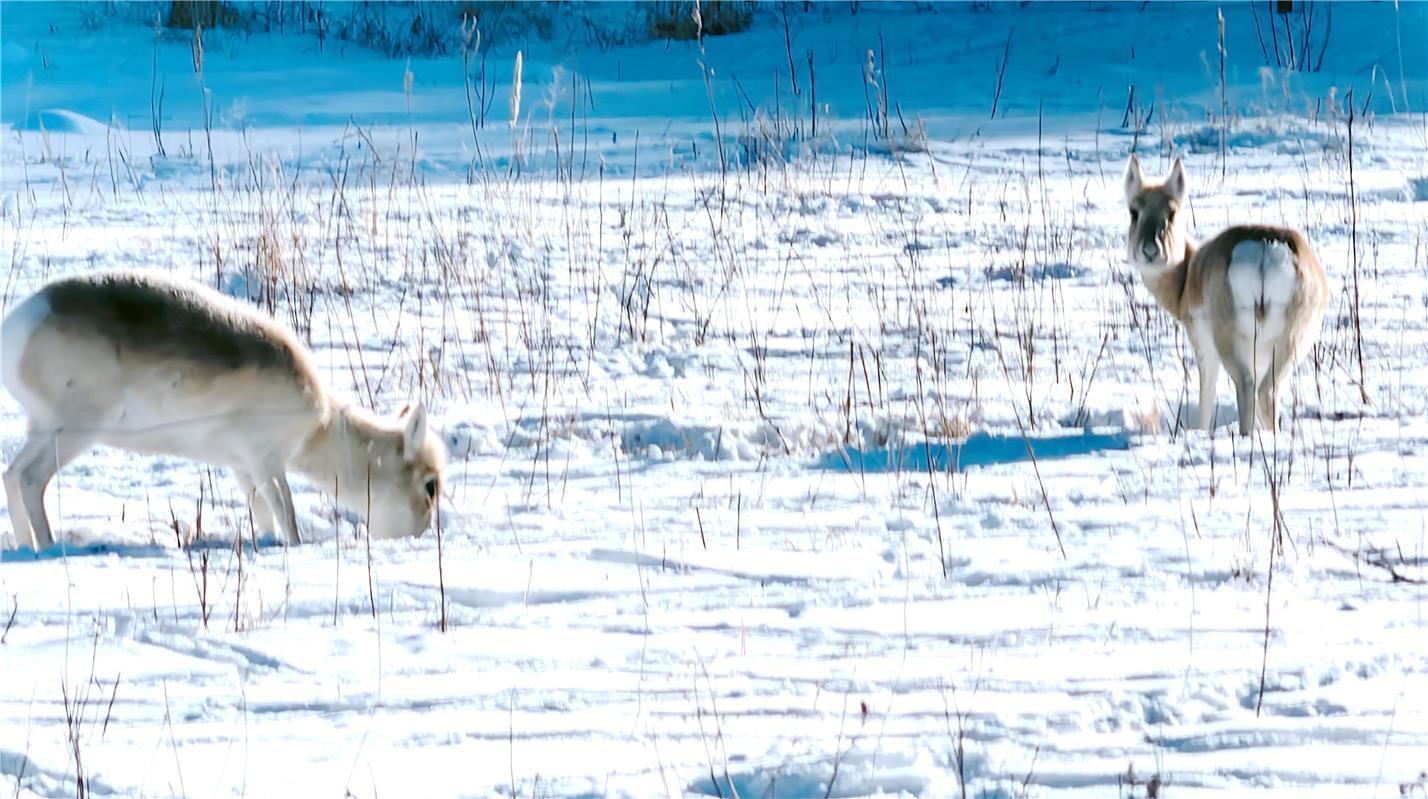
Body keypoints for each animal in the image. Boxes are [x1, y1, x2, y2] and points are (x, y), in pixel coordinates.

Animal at [1, 270, 446, 551]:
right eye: (429, 485)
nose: (422, 532)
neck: (320, 427)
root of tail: (17, 327)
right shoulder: (266, 461)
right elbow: (286, 509)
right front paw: (294, 545)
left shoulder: (243, 469)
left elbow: (262, 512)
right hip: (72, 432)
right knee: (30, 479)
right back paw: (47, 546)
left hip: (42, 429)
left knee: (12, 474)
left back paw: (24, 545)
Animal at [1124, 154, 1329, 436]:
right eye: (1134, 212)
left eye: (1172, 212)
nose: (1150, 251)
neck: (1187, 275)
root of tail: (1265, 245)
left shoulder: (1205, 350)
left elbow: (1206, 396)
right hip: (1292, 341)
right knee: (1268, 390)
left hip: (1231, 342)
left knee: (1248, 385)